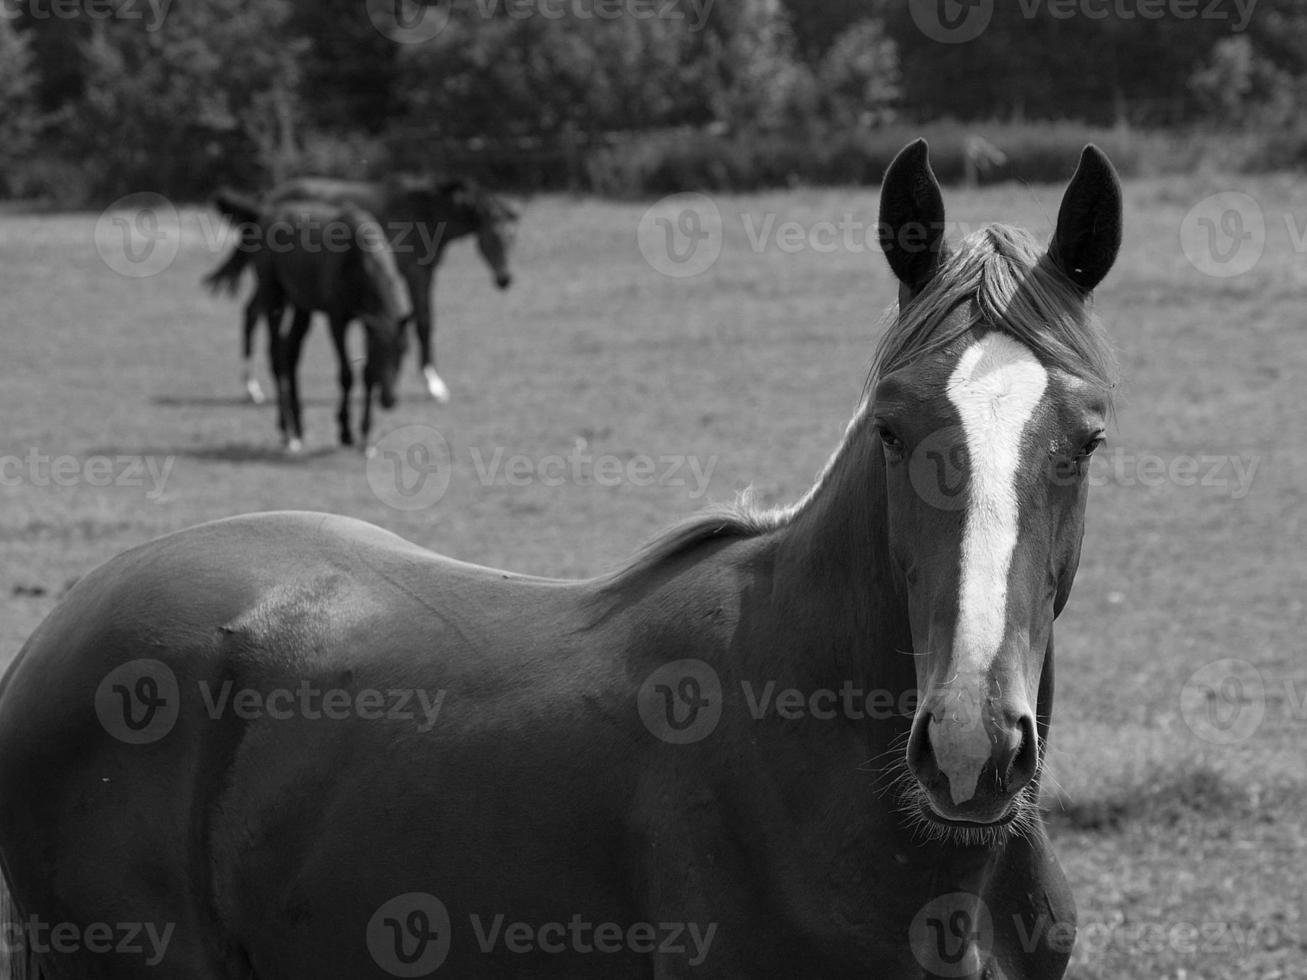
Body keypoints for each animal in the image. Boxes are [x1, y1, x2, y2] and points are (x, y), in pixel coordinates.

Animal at [206, 176, 517, 407]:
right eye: (494, 237)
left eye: (513, 238)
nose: (505, 279)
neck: (424, 212)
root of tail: (266, 201)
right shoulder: (416, 275)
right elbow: (424, 322)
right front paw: (434, 385)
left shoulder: (422, 275)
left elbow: (421, 321)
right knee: (252, 315)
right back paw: (252, 387)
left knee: (252, 313)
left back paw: (254, 386)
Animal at [210, 192, 413, 457]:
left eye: (404, 350)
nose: (390, 399)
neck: (358, 260)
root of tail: (266, 213)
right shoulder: (337, 319)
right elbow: (347, 374)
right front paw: (345, 431)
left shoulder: (368, 323)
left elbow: (368, 373)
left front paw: (366, 438)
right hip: (273, 295)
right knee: (276, 356)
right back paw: (288, 433)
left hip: (301, 306)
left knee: (290, 354)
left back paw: (298, 426)